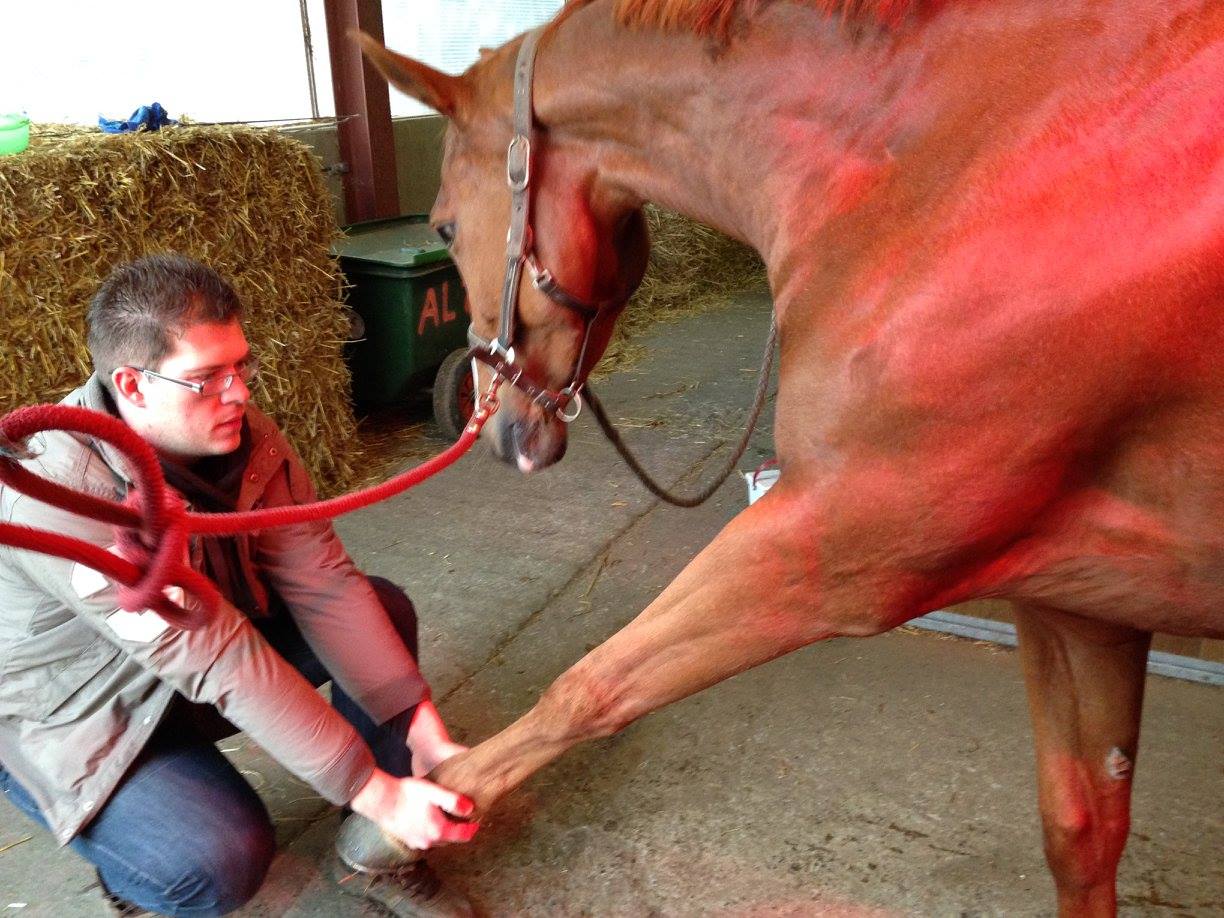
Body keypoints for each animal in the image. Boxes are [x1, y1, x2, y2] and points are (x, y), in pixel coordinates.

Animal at [357, 1, 1224, 915]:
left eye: (446, 224)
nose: (501, 431)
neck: (943, 167)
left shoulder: (833, 550)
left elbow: (590, 686)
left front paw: (409, 813)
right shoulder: (1079, 604)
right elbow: (1080, 831)